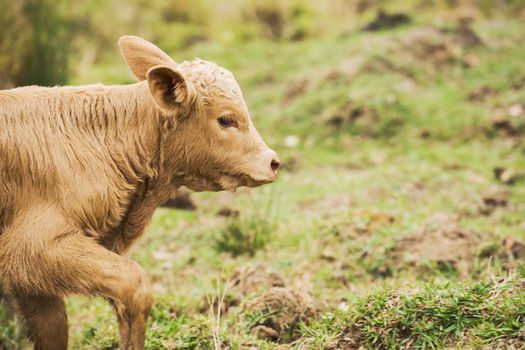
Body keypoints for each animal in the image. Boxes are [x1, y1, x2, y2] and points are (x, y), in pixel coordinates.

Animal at [0, 36, 278, 350]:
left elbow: (54, 330)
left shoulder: (34, 283)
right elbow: (134, 284)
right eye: (226, 119)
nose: (273, 162)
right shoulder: (33, 247)